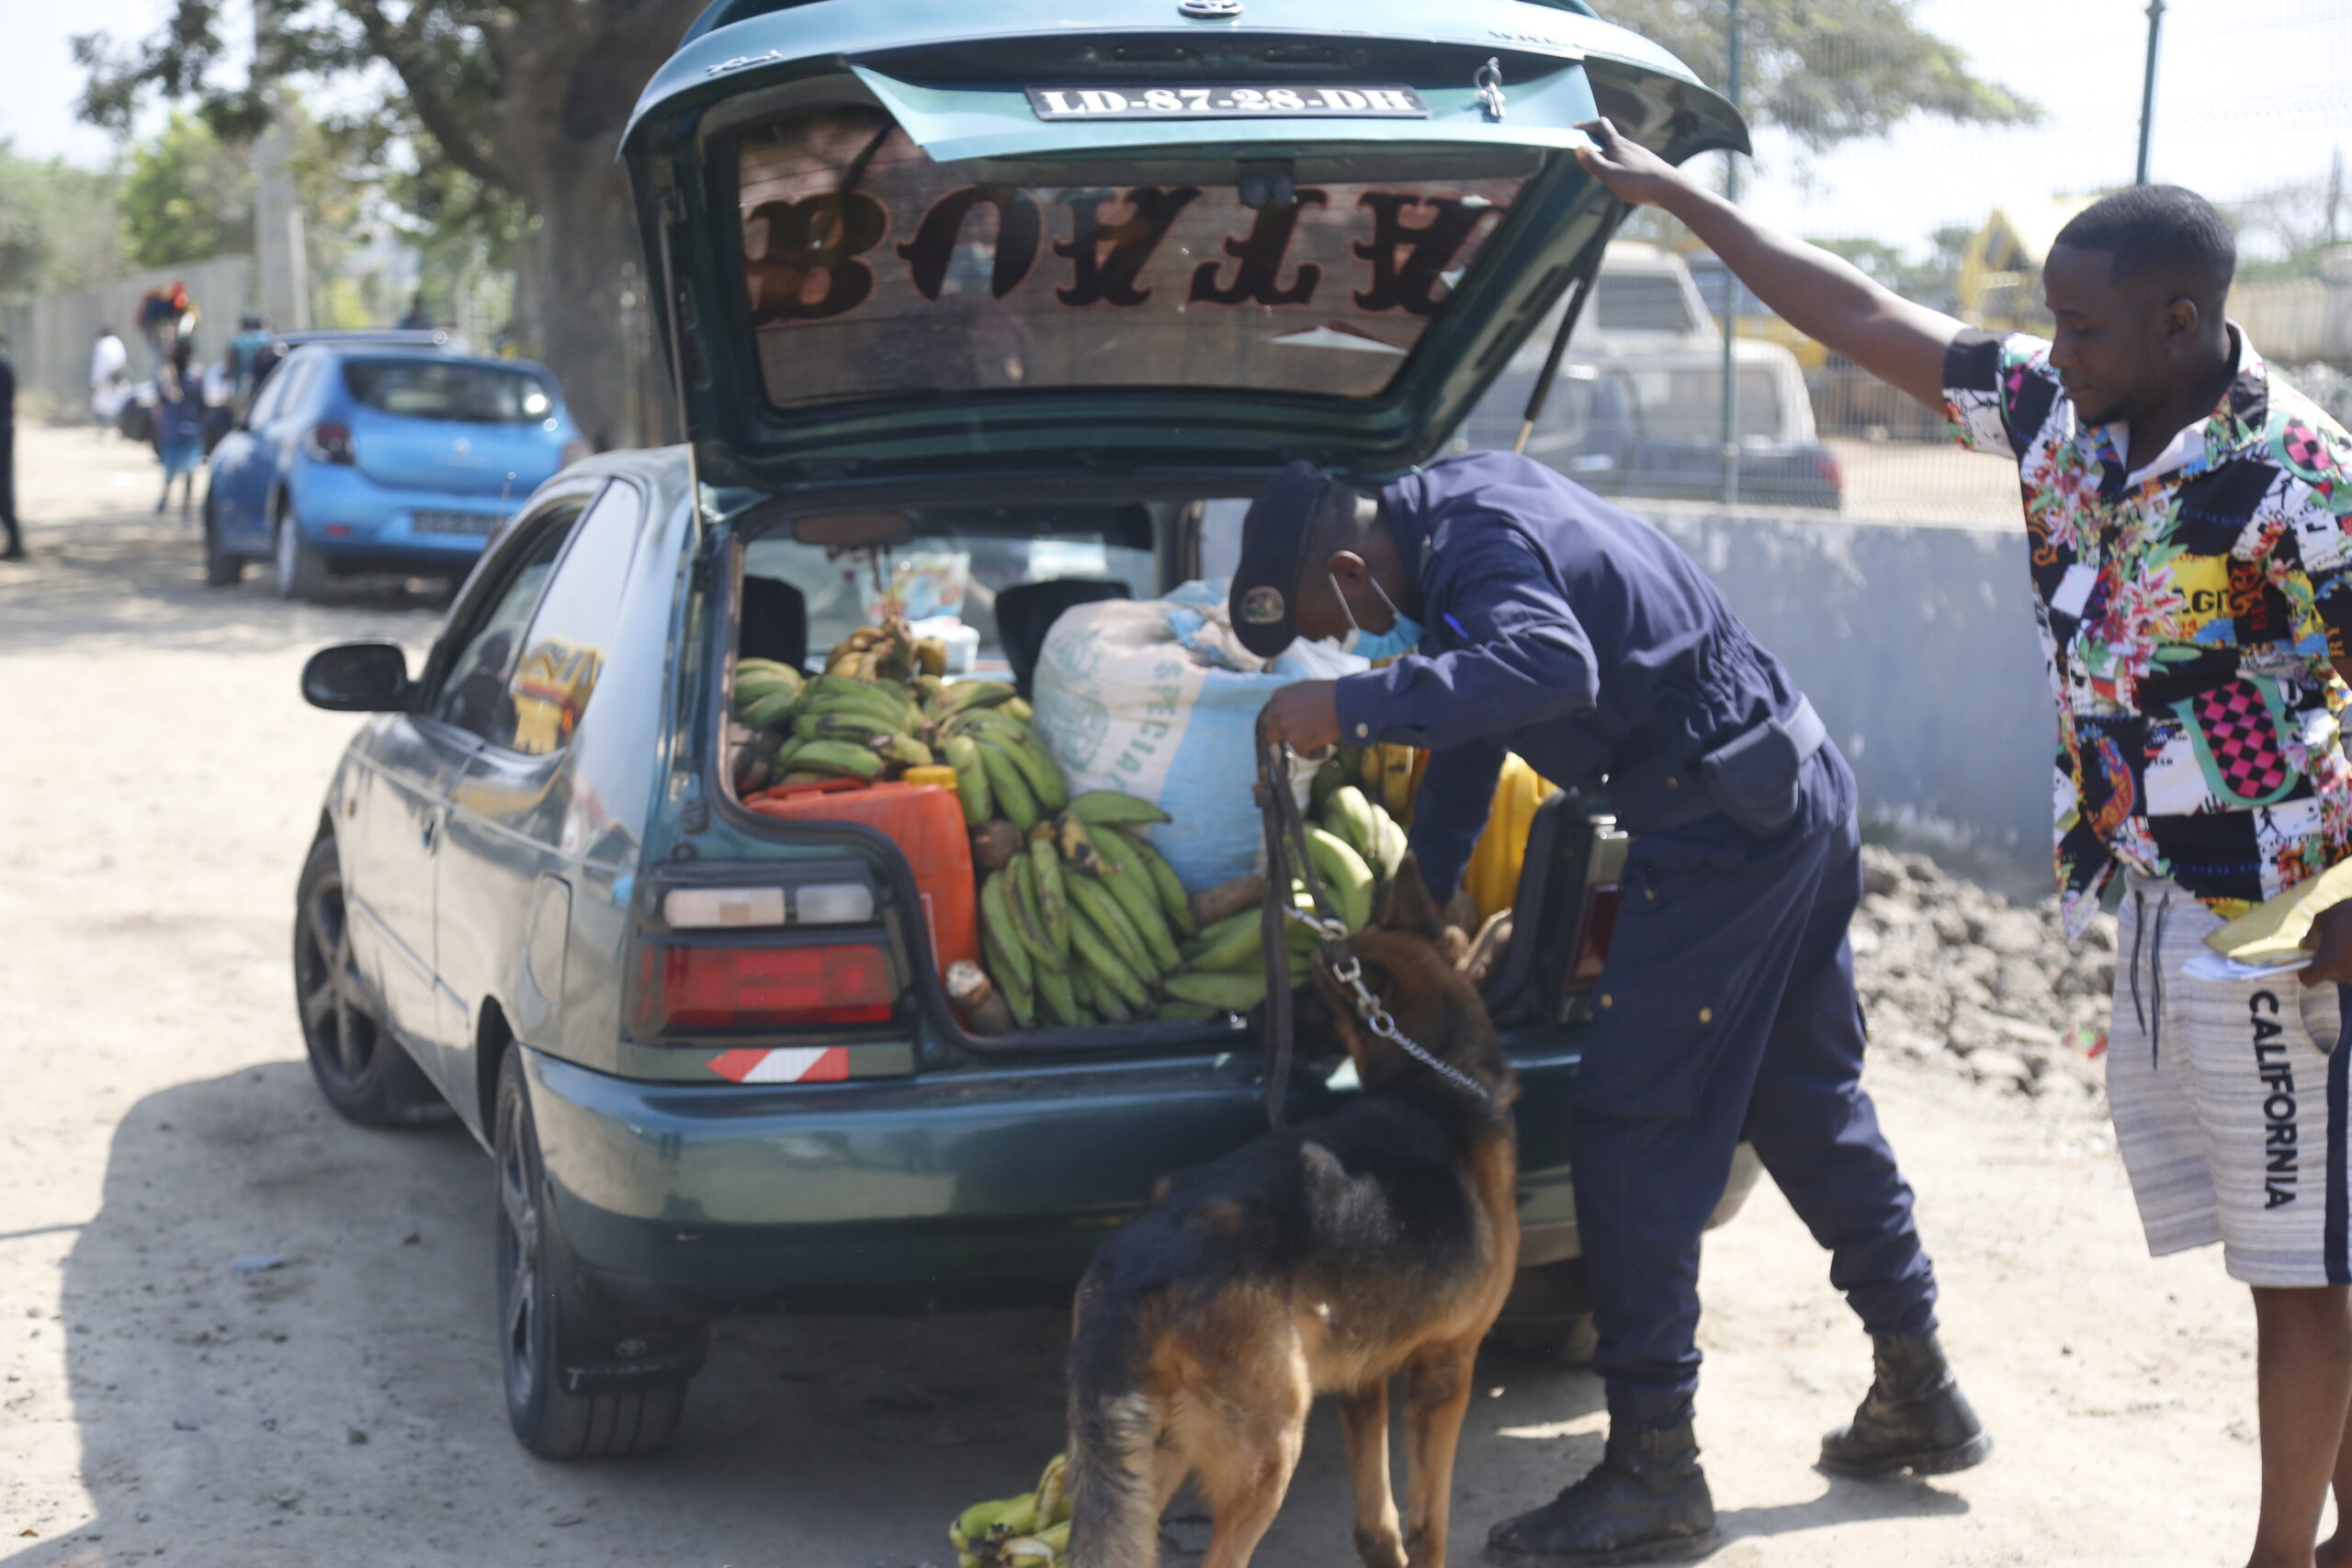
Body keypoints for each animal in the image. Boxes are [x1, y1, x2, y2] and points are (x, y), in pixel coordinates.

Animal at [1062, 857, 1521, 1568]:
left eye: (1312, 990)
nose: (1252, 1019)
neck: (1437, 1081)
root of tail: (1131, 1272)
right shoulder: (1446, 1372)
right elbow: (1431, 1522)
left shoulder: (1365, 1380)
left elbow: (1378, 1515)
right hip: (1269, 1448)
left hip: (1151, 1459)